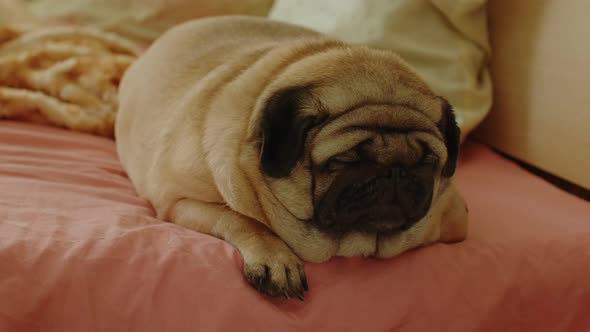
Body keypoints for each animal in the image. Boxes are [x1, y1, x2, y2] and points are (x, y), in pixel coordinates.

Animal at [115, 15, 470, 300]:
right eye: (345, 160)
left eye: (427, 162)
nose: (395, 171)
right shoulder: (180, 201)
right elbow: (243, 220)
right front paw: (277, 260)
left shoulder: (455, 218)